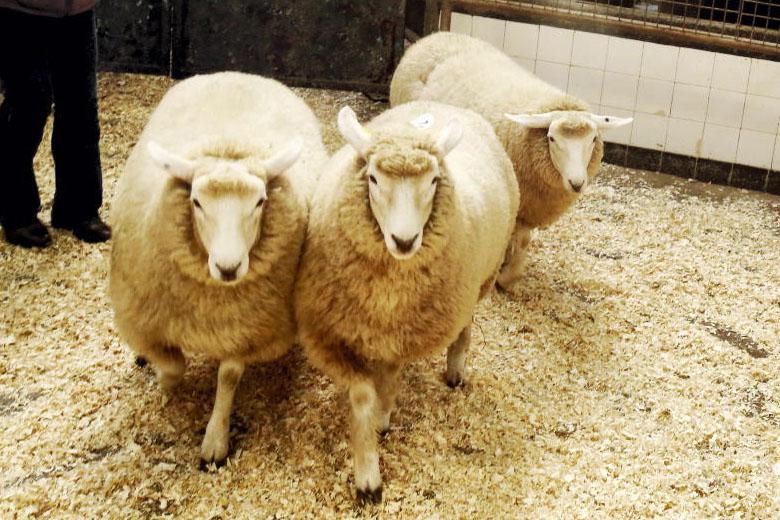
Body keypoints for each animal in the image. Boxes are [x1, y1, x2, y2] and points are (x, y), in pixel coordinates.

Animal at [109, 71, 325, 467]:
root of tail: (238, 73)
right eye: (196, 201)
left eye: (260, 201)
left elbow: (228, 376)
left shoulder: (245, 326)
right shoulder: (145, 316)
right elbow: (173, 365)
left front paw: (215, 440)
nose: (228, 267)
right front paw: (165, 382)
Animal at [294, 101, 519, 503]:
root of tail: (445, 106)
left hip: (480, 279)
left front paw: (381, 422)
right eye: (373, 179)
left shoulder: (401, 336)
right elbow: (364, 394)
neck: (388, 292)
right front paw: (368, 472)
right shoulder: (328, 335)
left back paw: (455, 369)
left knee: (465, 324)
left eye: (432, 181)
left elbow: (387, 383)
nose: (404, 240)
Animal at [390, 31, 632, 288]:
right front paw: (502, 274)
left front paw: (510, 275)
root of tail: (435, 36)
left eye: (593, 139)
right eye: (552, 138)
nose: (577, 182)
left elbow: (523, 242)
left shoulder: (526, 209)